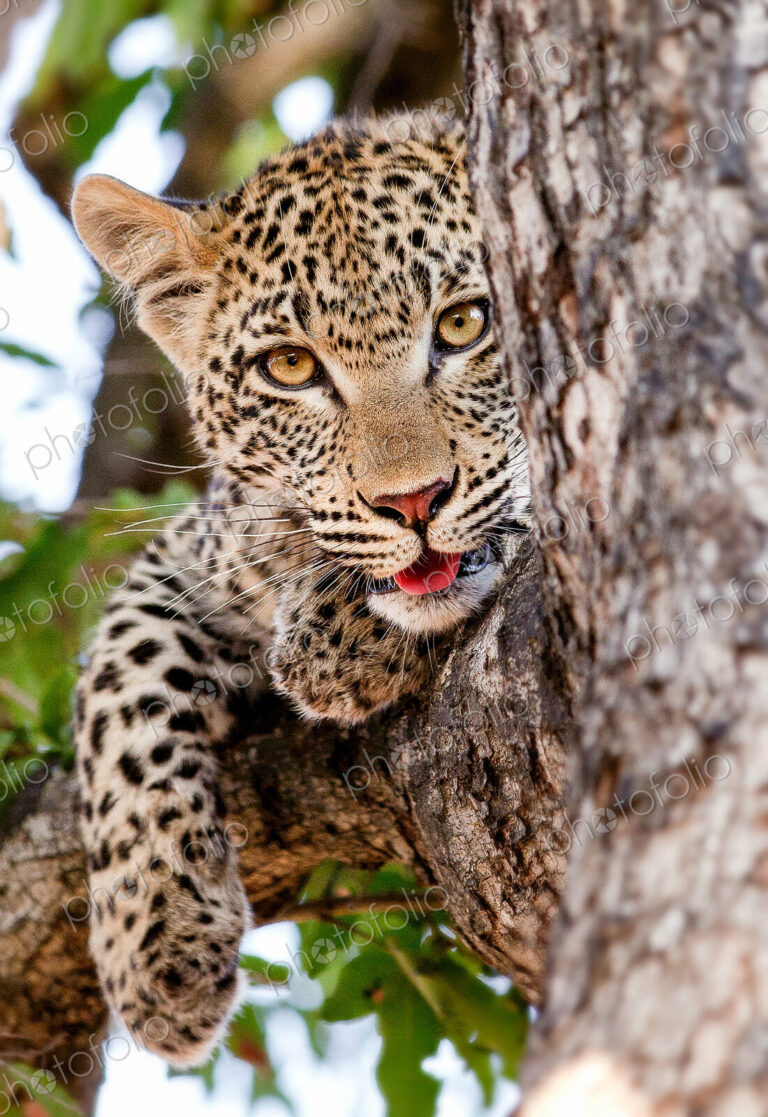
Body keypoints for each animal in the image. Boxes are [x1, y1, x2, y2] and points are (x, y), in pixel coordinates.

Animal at [70, 114, 530, 1069]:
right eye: (290, 367)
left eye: (466, 323)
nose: (413, 502)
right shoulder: (194, 548)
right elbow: (122, 686)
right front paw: (156, 948)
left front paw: (334, 645)